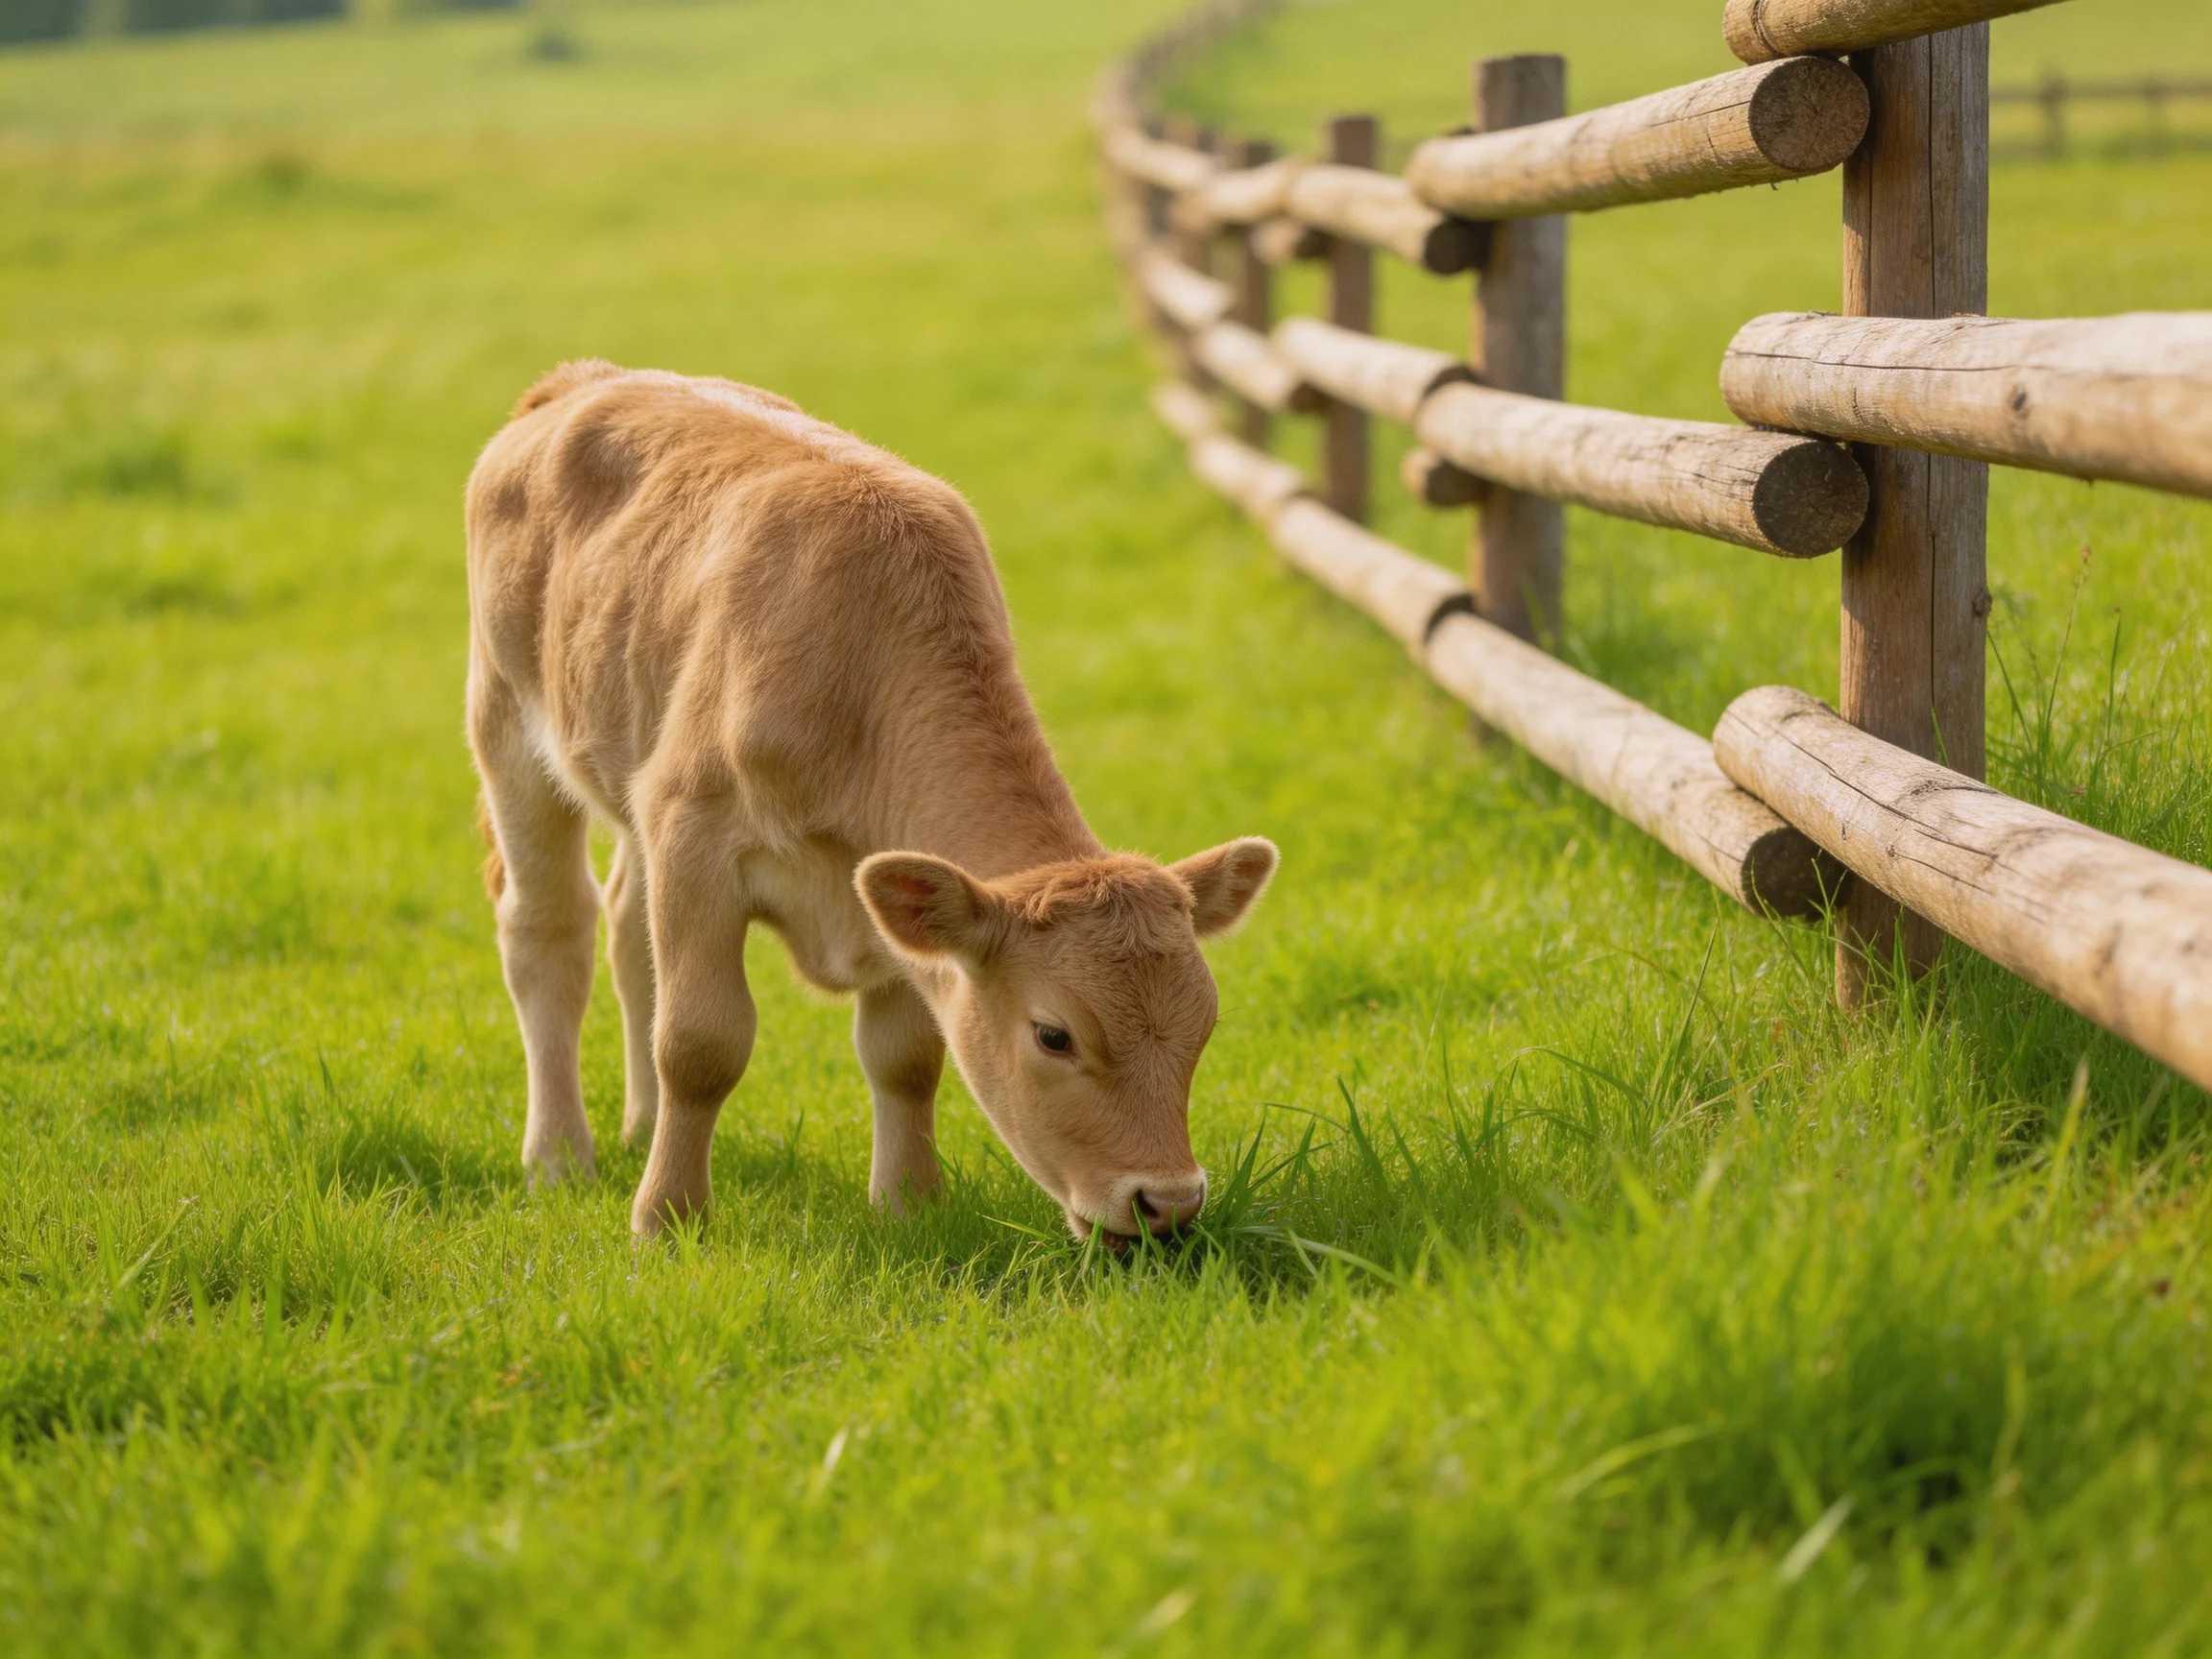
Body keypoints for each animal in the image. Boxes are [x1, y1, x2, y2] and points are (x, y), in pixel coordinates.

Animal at [464, 361, 1277, 1240]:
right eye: (1054, 1036)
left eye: (1205, 1023)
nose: (1169, 1202)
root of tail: (587, 379)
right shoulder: (694, 835)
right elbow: (700, 1045)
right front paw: (666, 1219)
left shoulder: (886, 892)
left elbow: (906, 1058)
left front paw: (908, 1206)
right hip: (509, 725)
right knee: (550, 933)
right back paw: (558, 1158)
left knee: (625, 929)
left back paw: (639, 1129)